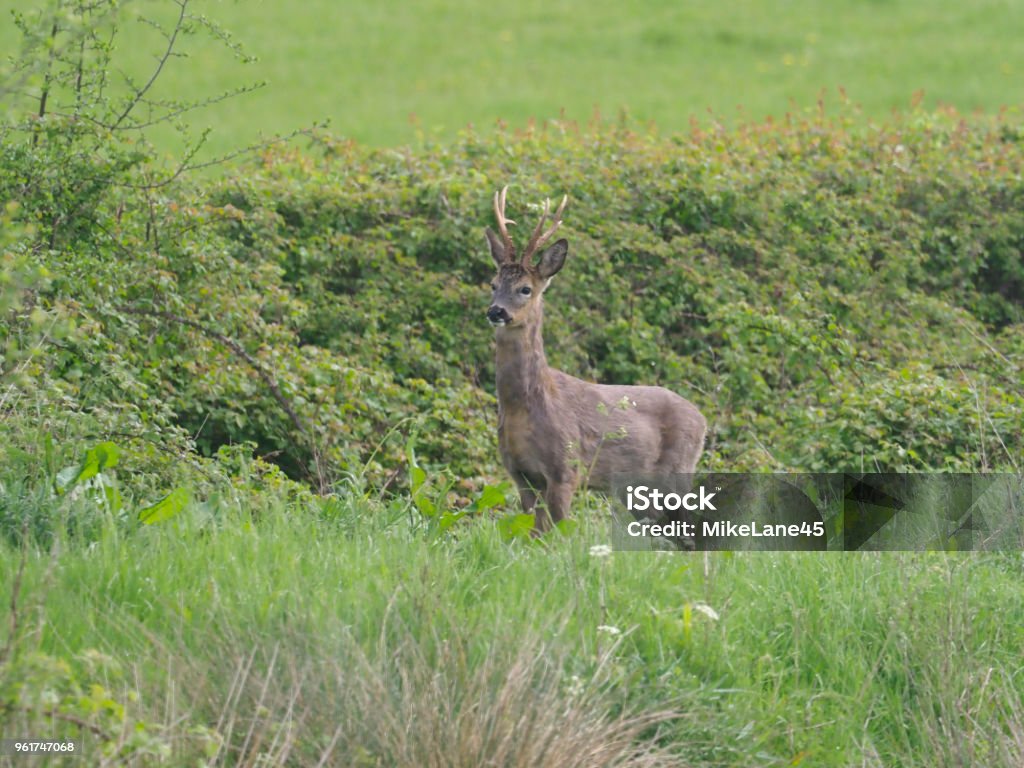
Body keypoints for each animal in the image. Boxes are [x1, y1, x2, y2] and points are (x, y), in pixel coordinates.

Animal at [483, 189, 708, 532]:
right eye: (494, 284)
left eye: (525, 289)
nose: (496, 311)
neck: (528, 406)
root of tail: (703, 420)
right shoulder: (520, 474)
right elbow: (532, 532)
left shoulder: (567, 467)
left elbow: (557, 532)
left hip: (677, 472)